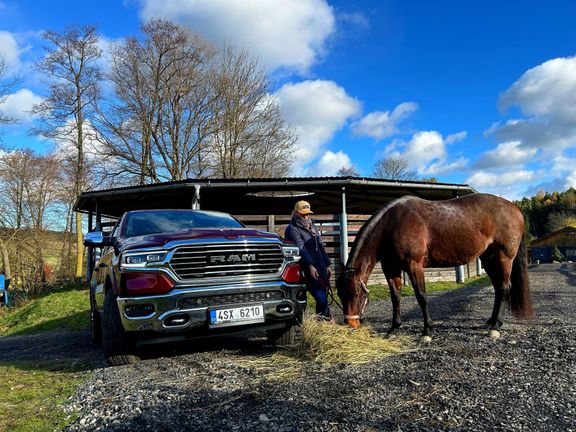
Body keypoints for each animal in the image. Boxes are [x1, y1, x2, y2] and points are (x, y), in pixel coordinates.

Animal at [336, 193, 532, 340]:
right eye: (339, 294)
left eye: (356, 293)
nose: (350, 325)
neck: (392, 224)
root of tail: (516, 209)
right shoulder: (390, 268)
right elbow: (395, 297)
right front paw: (393, 329)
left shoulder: (414, 265)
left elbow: (421, 297)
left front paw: (427, 332)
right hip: (489, 259)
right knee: (498, 289)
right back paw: (491, 321)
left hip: (504, 258)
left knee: (504, 288)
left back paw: (495, 328)